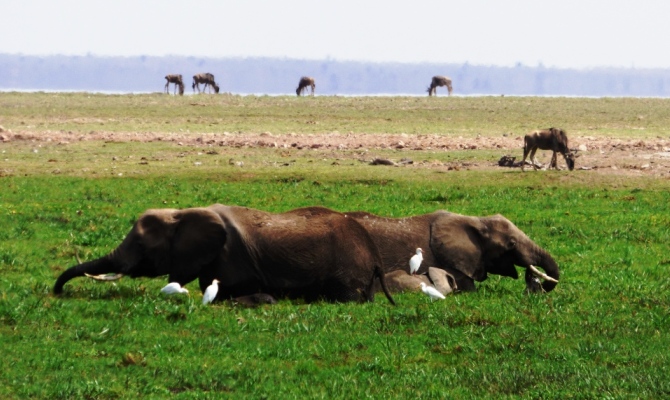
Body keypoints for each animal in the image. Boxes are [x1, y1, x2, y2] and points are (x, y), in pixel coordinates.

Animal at [56, 205, 400, 304]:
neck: (184, 213)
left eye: (141, 246)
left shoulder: (232, 258)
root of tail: (373, 253)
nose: (58, 292)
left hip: (347, 274)